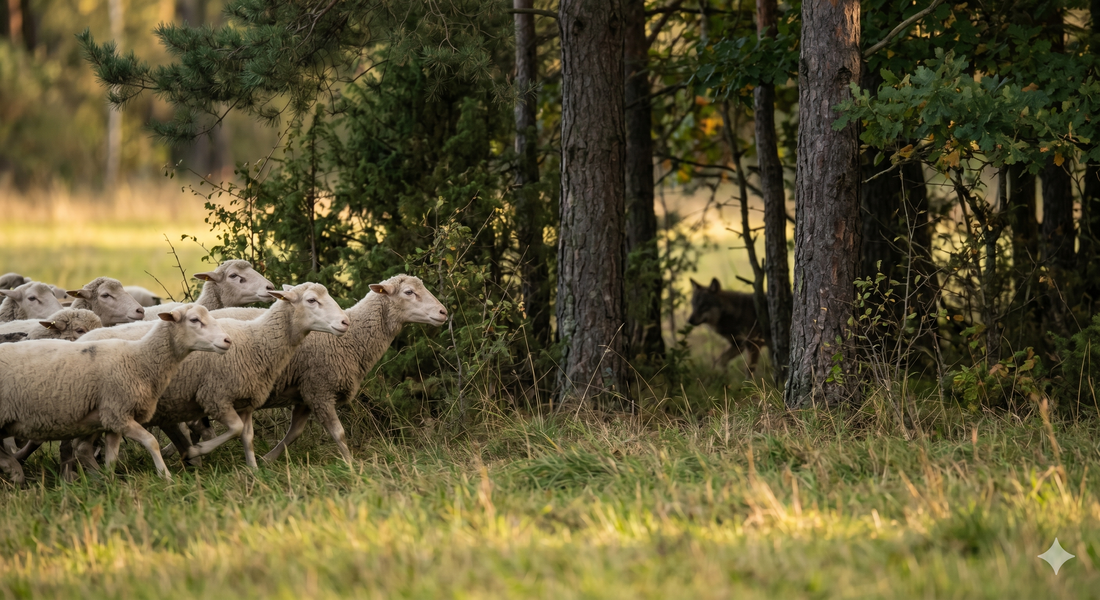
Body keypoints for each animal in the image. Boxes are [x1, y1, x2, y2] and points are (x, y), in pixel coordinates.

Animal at [0, 305, 232, 483]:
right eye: (194, 320)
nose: (227, 340)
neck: (139, 359)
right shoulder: (117, 414)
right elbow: (151, 441)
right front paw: (165, 476)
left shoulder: (113, 421)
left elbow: (111, 458)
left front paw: (109, 484)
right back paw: (17, 473)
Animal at [81, 282, 349, 469]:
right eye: (312, 300)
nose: (345, 322)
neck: (257, 339)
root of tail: (83, 338)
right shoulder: (216, 395)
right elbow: (235, 430)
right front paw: (197, 450)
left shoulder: (245, 400)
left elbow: (247, 436)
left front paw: (254, 470)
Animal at [206, 275, 447, 465]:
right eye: (409, 292)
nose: (443, 312)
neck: (353, 338)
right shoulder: (320, 389)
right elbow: (338, 433)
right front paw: (352, 466)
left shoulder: (305, 394)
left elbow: (295, 433)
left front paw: (267, 459)